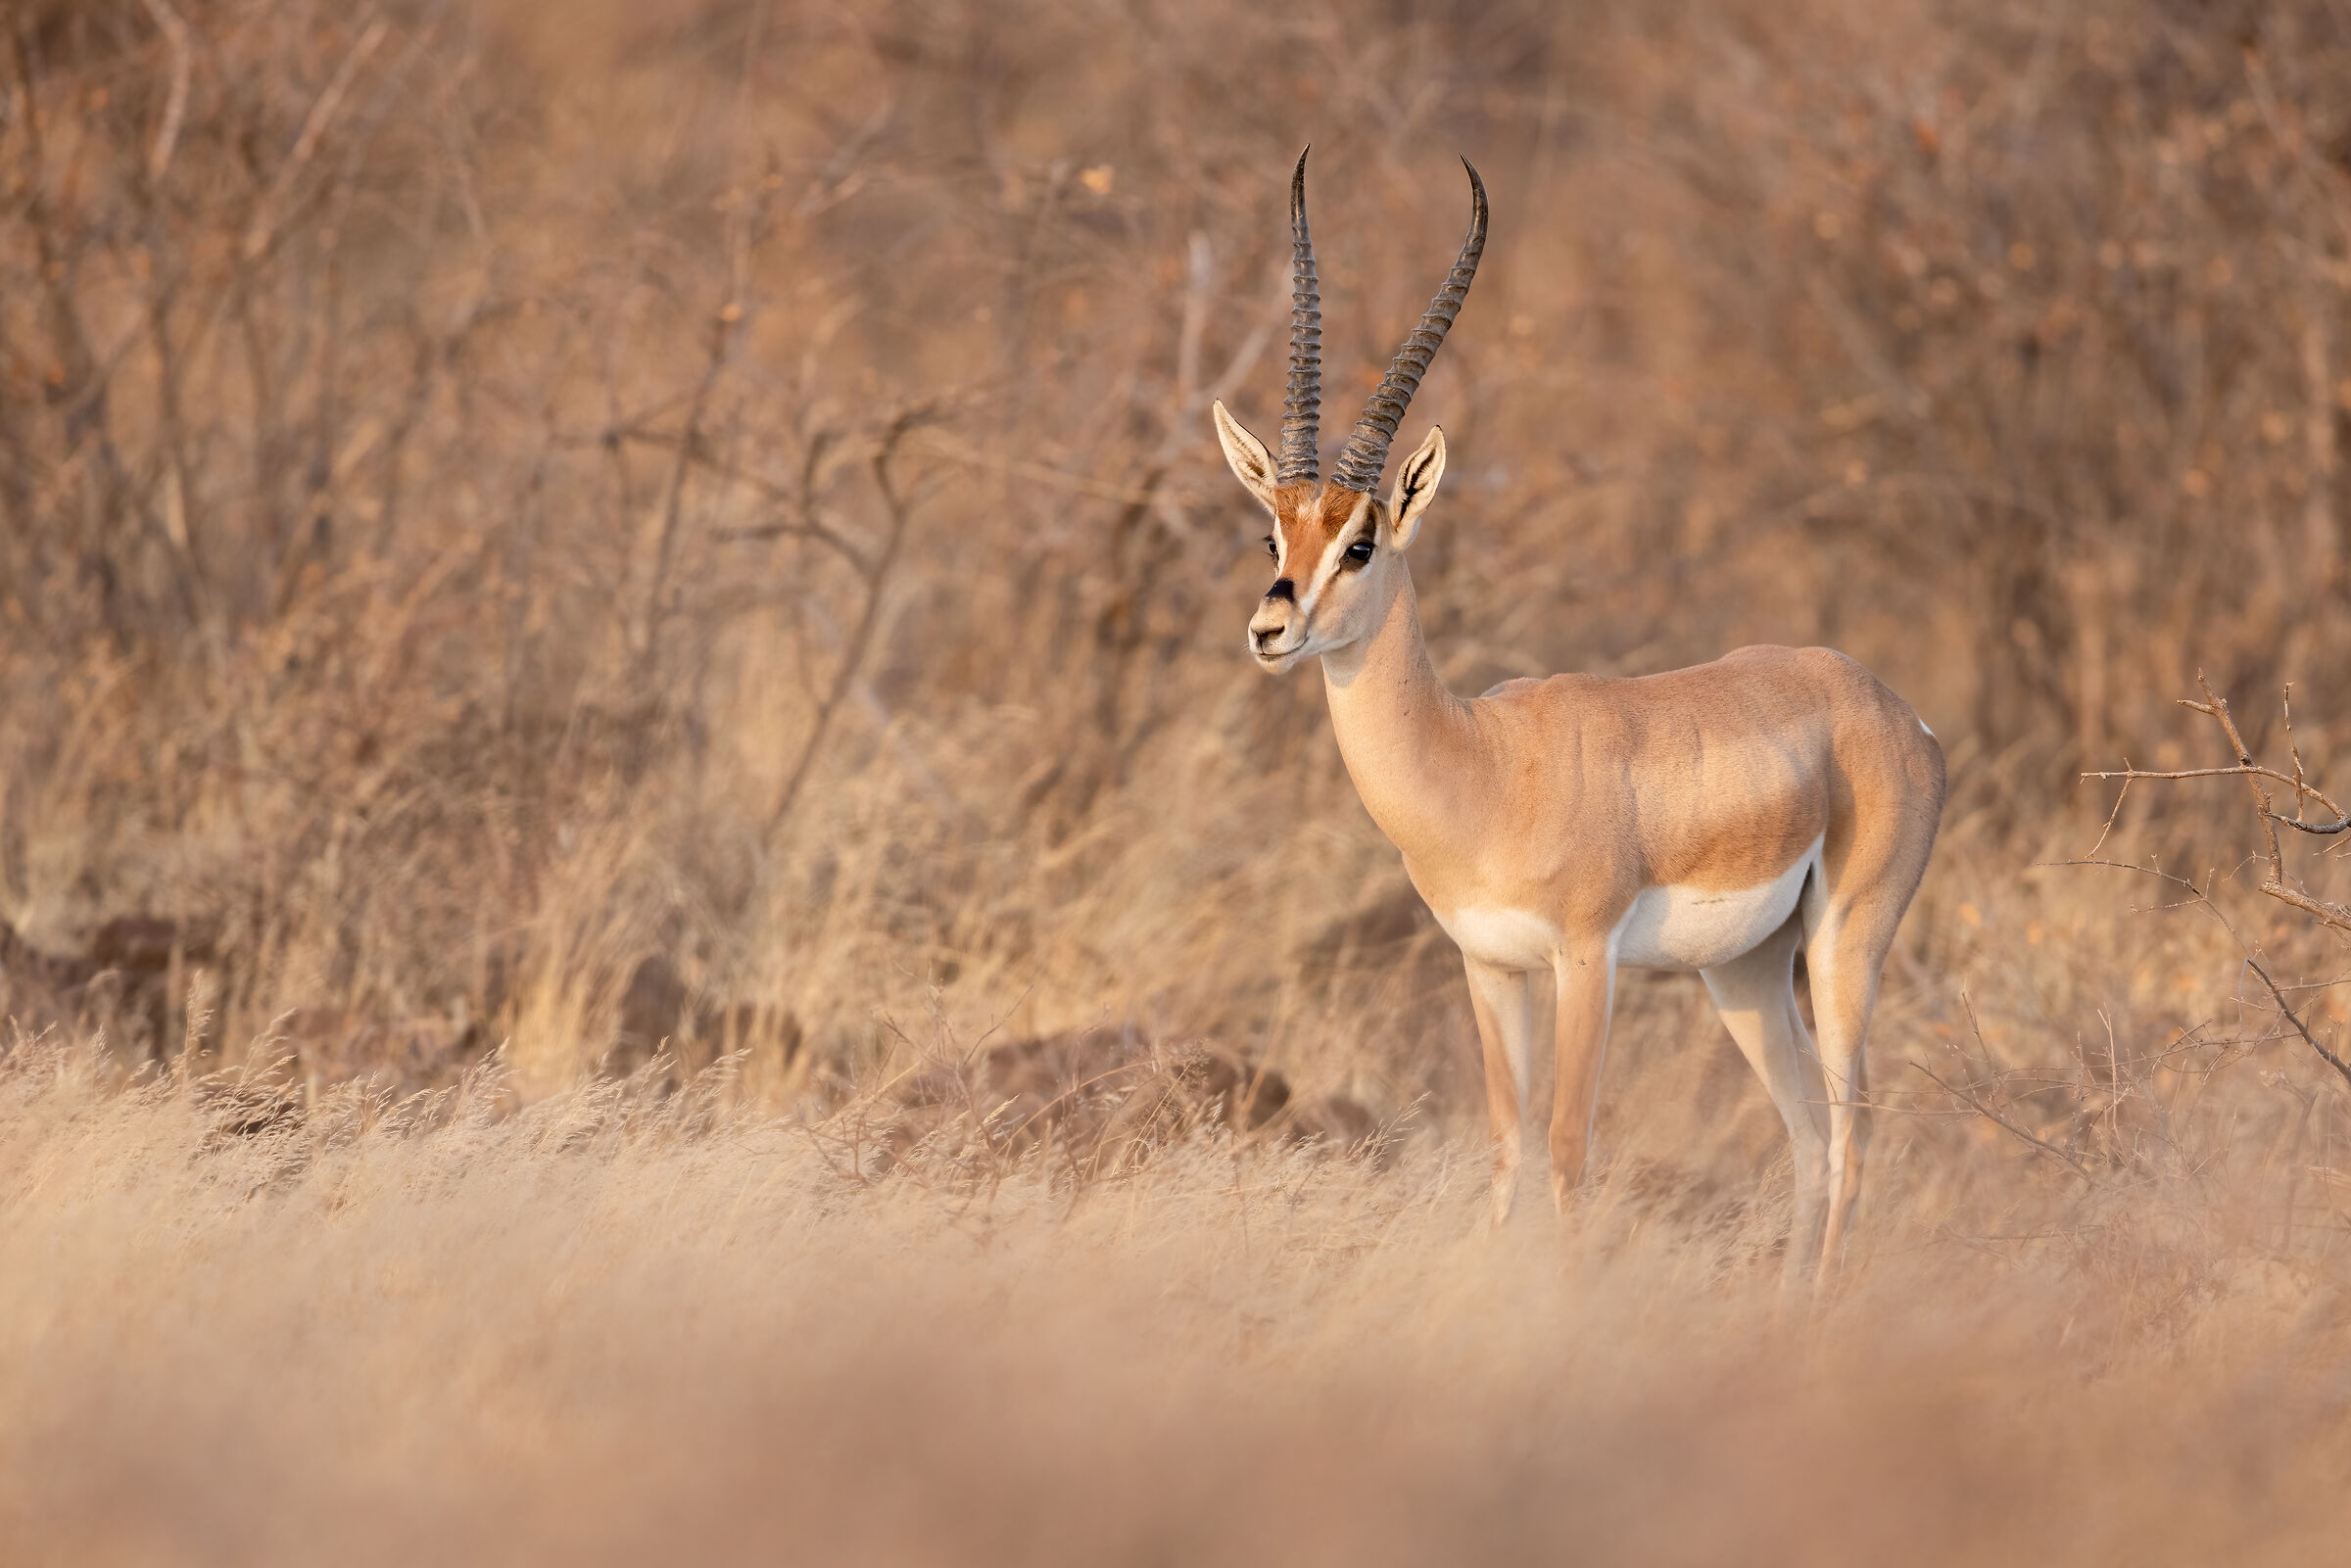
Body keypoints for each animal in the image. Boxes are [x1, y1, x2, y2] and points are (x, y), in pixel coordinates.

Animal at [1212, 150, 1945, 1277]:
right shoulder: (1488, 965)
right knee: (1807, 1141)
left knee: (1853, 1139)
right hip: (1743, 972)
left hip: (1843, 945)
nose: (1268, 629)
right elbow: (1508, 1150)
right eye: (1272, 534)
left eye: (1360, 544)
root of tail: (1898, 714)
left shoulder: (1585, 961)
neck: (1480, 765)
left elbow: (1565, 1149)